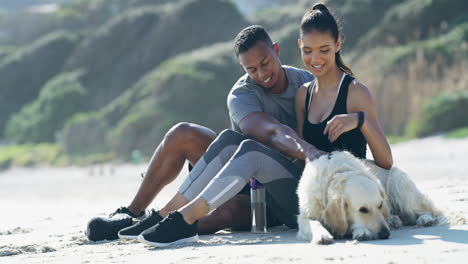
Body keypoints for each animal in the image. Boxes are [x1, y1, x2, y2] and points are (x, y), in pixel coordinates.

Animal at [296, 152, 442, 244]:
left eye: (380, 205)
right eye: (363, 209)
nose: (385, 234)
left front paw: (361, 231)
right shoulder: (304, 215)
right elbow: (314, 222)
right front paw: (322, 234)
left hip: (399, 184)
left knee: (426, 210)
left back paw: (425, 219)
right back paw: (394, 220)